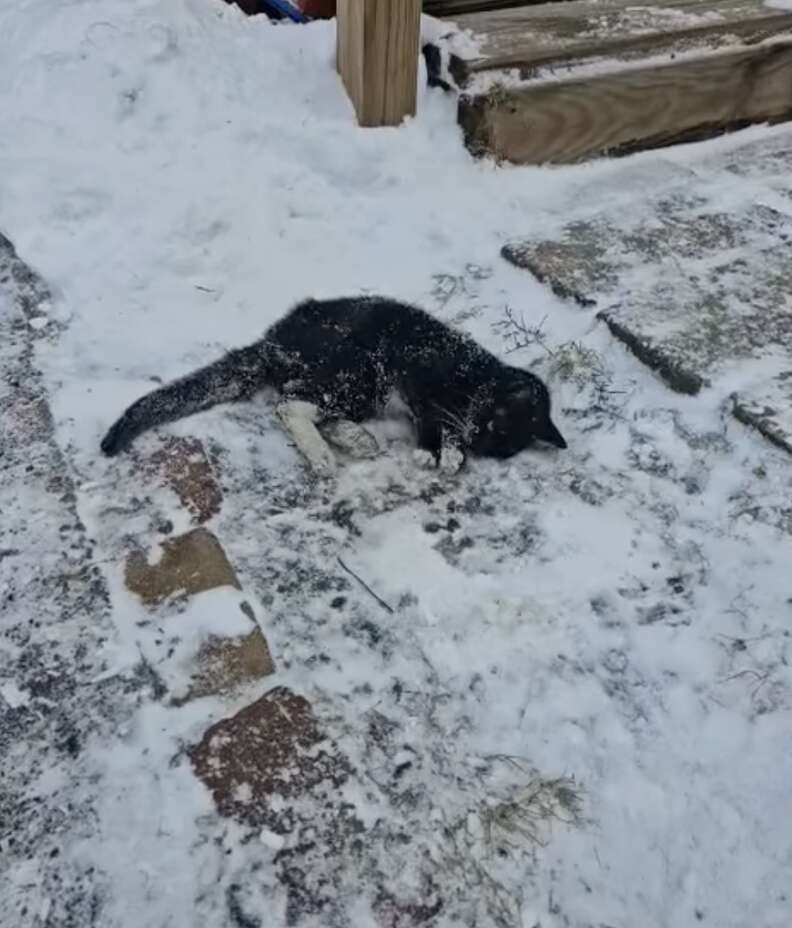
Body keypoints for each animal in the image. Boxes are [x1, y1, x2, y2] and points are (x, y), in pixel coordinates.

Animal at [102, 298, 568, 464]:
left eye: (501, 446)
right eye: (495, 421)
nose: (478, 439)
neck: (477, 376)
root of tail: (274, 338)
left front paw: (452, 452)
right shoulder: (423, 375)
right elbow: (436, 420)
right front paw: (437, 452)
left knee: (303, 401)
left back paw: (354, 440)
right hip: (361, 370)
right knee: (289, 403)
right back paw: (323, 454)